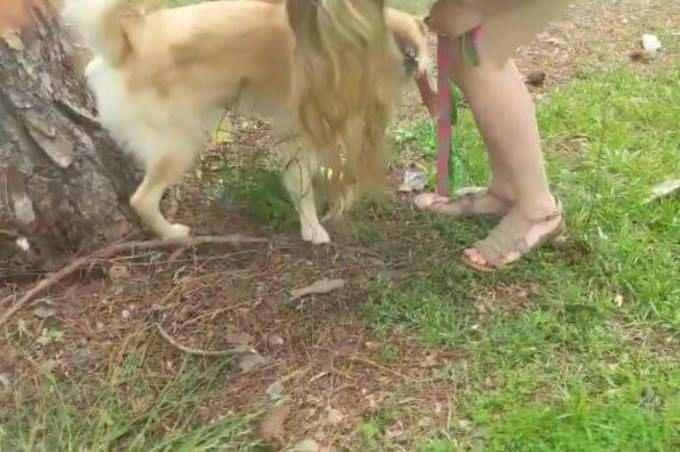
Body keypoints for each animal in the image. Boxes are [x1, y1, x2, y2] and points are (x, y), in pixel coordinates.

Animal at [61, 0, 428, 244]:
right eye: (412, 55)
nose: (421, 67)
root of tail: (129, 43)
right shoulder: (300, 128)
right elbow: (302, 183)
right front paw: (312, 227)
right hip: (181, 144)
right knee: (142, 199)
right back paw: (173, 234)